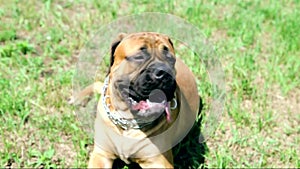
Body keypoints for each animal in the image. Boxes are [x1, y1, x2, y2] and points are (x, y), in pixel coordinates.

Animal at [72, 32, 200, 168]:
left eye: (170, 58)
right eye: (138, 57)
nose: (164, 72)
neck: (128, 123)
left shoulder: (159, 163)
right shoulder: (101, 155)